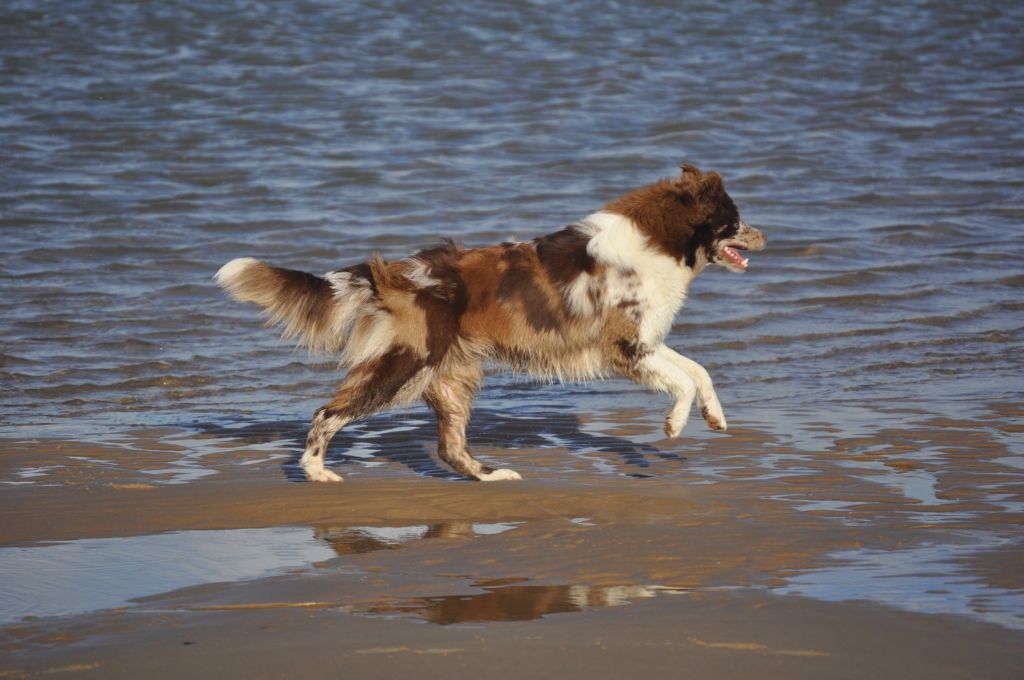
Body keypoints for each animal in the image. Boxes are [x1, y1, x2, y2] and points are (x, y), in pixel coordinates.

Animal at [220, 164, 770, 483]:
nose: (767, 236)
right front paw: (674, 425)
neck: (657, 240)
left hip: (451, 378)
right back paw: (316, 472)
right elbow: (682, 381)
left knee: (448, 446)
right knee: (327, 412)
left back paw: (490, 476)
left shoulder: (645, 342)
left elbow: (698, 371)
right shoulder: (626, 348)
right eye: (734, 219)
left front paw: (715, 417)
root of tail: (391, 273)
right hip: (404, 367)